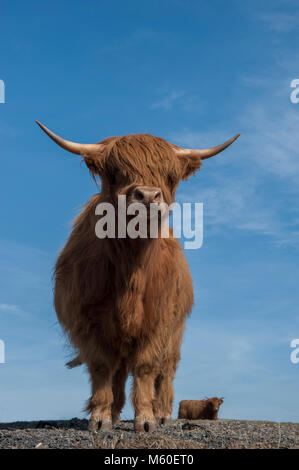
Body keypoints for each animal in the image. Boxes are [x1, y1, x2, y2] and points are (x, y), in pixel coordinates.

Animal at [36, 119, 240, 432]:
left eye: (170, 175)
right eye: (114, 173)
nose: (147, 196)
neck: (131, 270)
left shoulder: (158, 322)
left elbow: (146, 367)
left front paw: (145, 419)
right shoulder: (89, 321)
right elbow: (102, 367)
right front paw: (100, 418)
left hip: (176, 334)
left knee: (166, 370)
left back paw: (163, 412)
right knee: (119, 371)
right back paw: (116, 411)